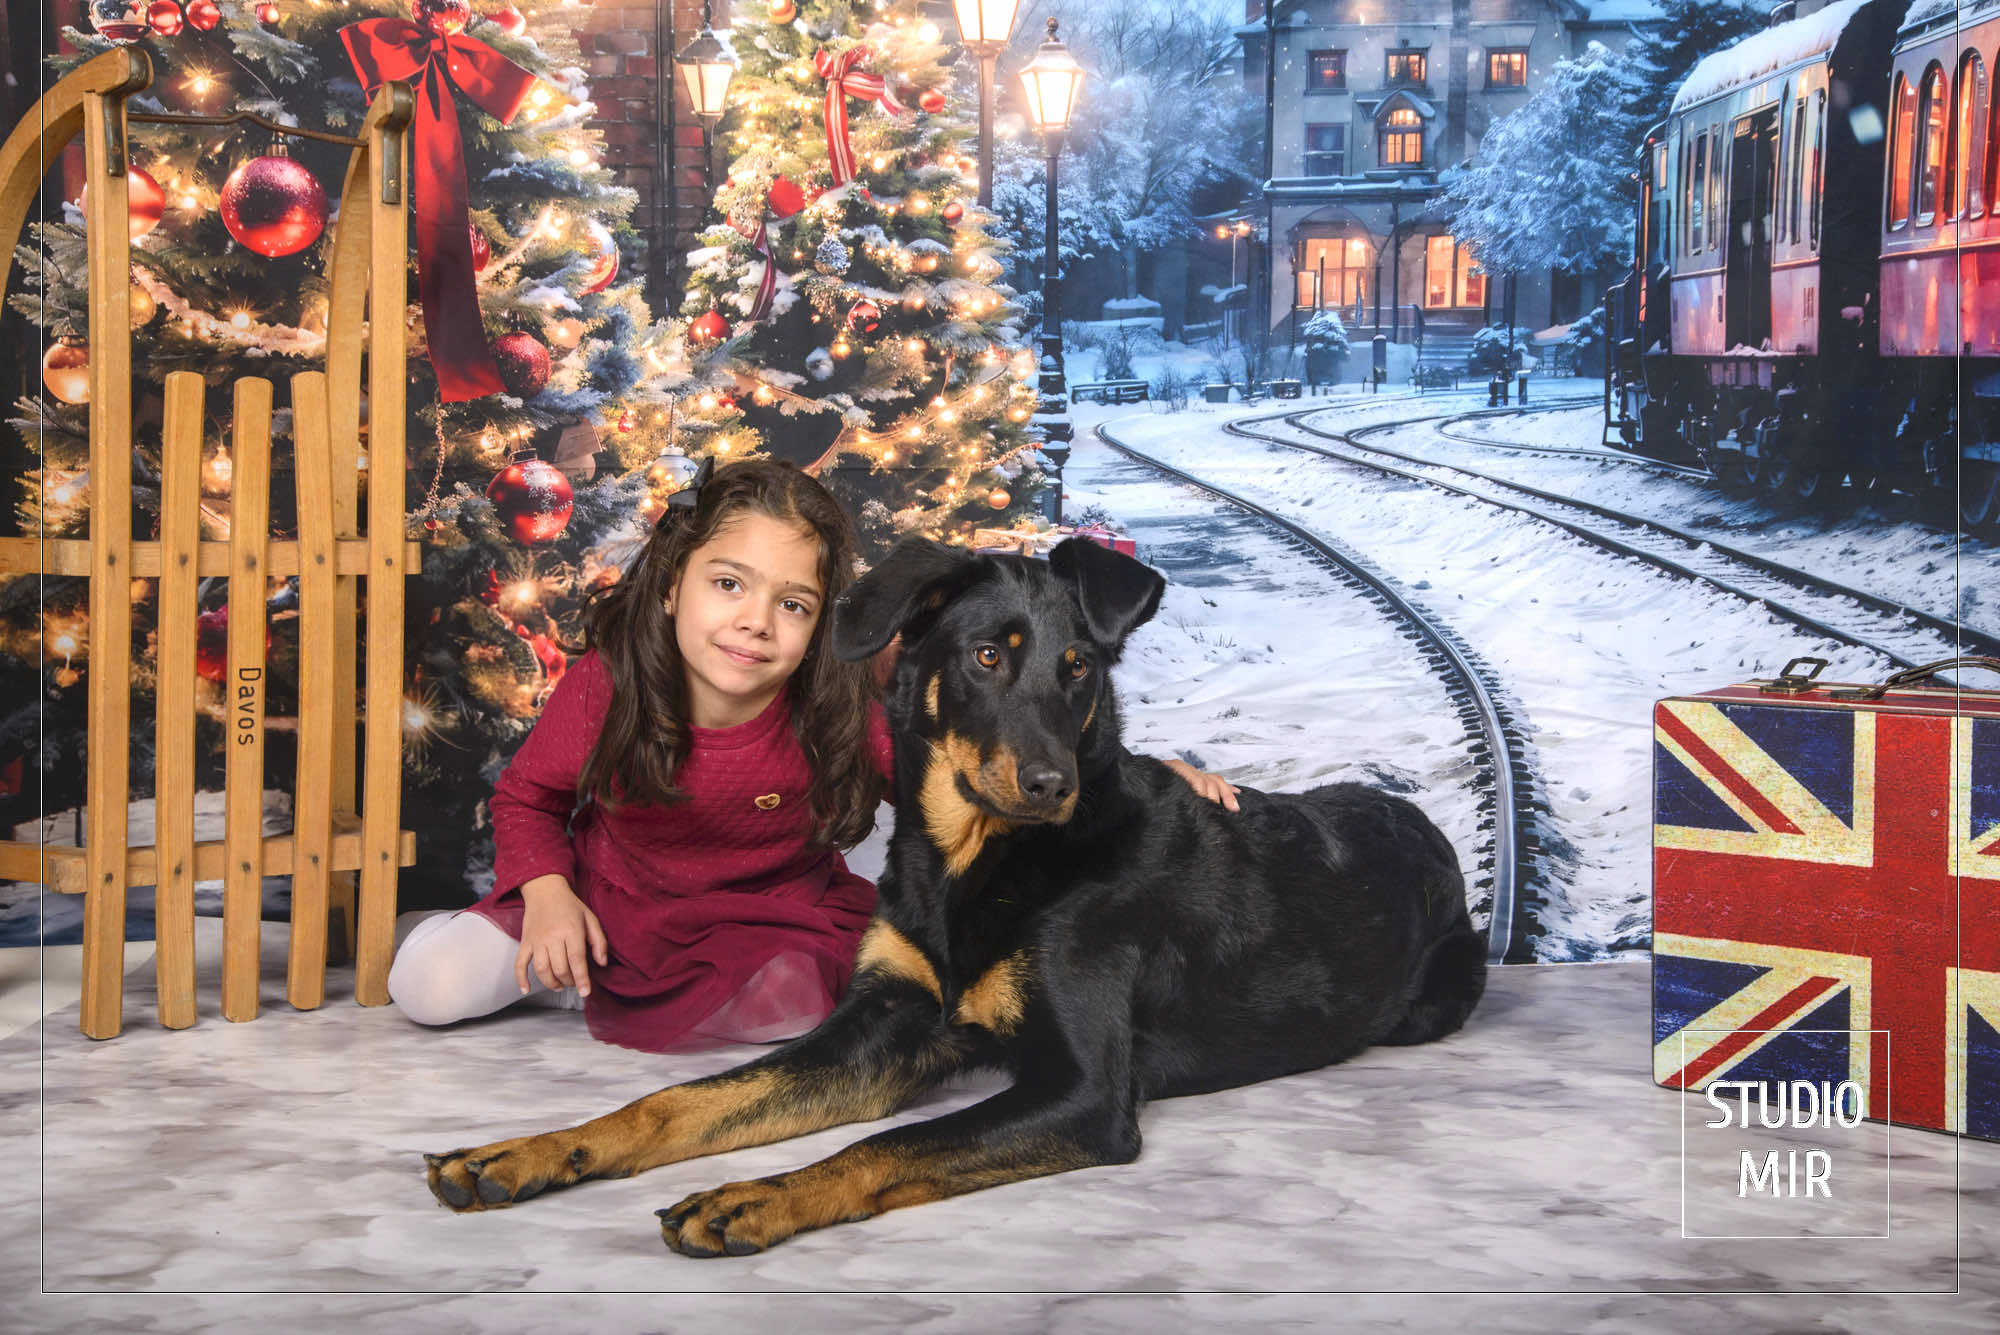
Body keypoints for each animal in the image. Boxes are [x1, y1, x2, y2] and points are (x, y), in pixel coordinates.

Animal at [422, 535, 1488, 1255]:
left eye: (1079, 670)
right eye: (985, 655)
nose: (1054, 785)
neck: (971, 864)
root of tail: (1421, 822)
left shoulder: (1084, 1092)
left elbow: (886, 1146)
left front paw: (754, 1194)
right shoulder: (879, 1026)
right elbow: (679, 1099)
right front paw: (526, 1151)